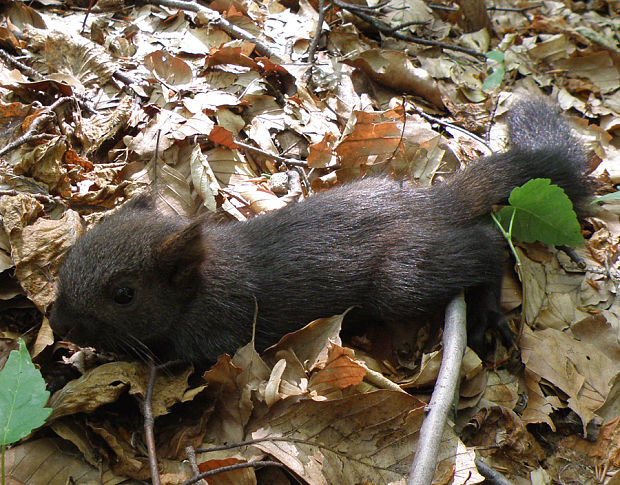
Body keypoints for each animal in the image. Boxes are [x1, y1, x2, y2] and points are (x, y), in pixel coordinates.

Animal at [48, 99, 592, 366]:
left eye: (124, 294)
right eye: (71, 255)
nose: (58, 323)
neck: (200, 283)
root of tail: (432, 202)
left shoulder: (218, 331)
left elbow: (172, 364)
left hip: (402, 277)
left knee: (485, 247)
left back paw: (485, 313)